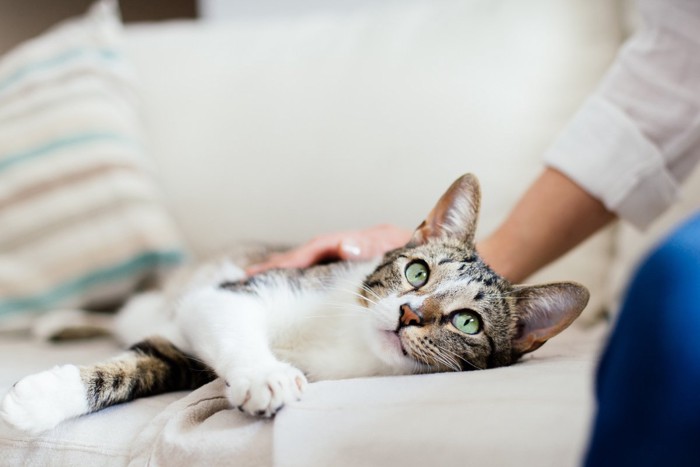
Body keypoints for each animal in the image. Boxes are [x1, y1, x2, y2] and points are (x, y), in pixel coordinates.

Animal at [1, 175, 592, 436]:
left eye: (467, 321)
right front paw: (266, 374)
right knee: (128, 312)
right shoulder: (234, 292)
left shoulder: (185, 357)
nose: (408, 314)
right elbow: (219, 322)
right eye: (417, 272)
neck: (347, 340)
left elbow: (145, 367)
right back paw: (61, 319)